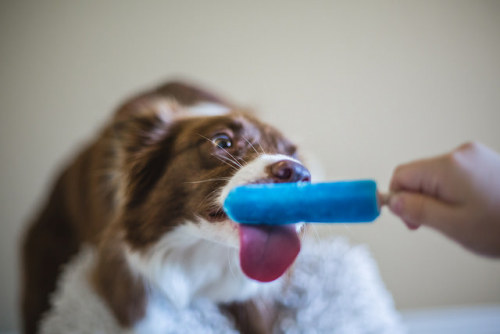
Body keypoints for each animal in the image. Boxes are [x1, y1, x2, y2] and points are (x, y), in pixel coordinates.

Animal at [20, 81, 402, 334]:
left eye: (294, 155)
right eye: (223, 142)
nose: (297, 173)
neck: (201, 254)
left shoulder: (257, 297)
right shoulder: (126, 280)